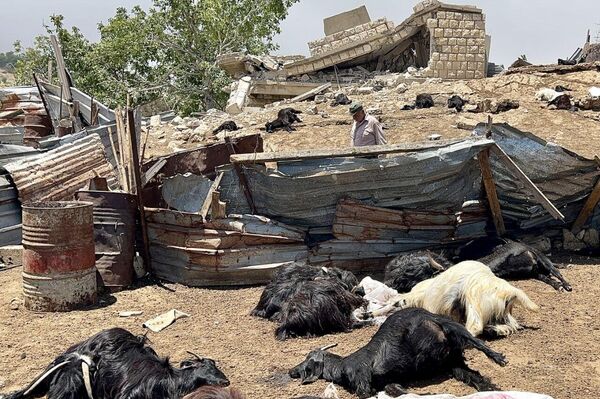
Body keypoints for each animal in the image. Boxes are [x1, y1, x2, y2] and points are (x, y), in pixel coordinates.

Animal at [290, 308, 506, 398]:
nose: (291, 371)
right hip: (453, 356)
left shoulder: (362, 381)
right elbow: (397, 390)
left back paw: (500, 359)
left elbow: (367, 392)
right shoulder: (390, 382)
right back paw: (492, 380)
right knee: (474, 373)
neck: (341, 366)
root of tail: (432, 319)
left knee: (477, 343)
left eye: (307, 360)